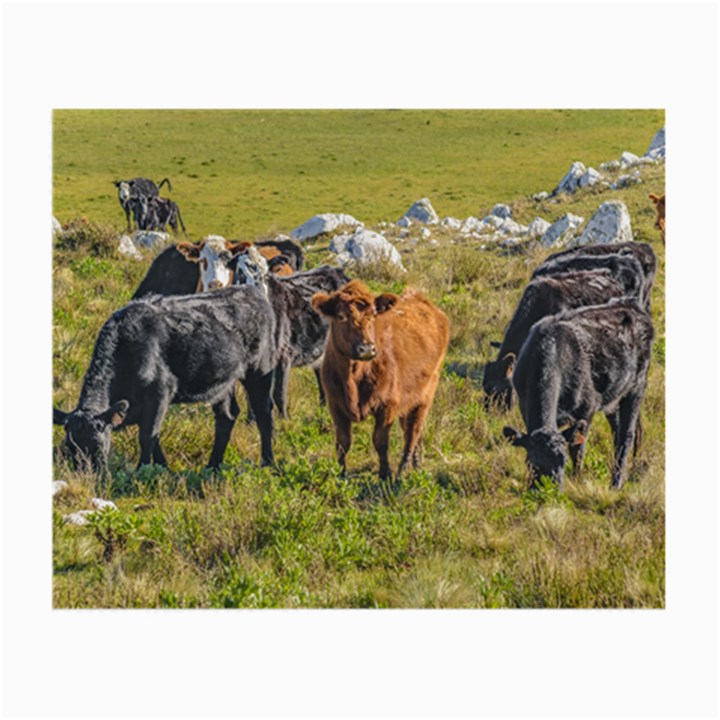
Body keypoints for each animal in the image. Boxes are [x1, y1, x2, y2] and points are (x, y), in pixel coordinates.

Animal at [52, 284, 278, 476]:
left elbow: (147, 436)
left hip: (260, 369)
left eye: (99, 446)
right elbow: (155, 437)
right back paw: (212, 466)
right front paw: (163, 467)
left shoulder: (160, 392)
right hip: (222, 383)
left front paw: (142, 471)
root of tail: (251, 290)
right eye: (69, 447)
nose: (86, 475)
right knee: (227, 416)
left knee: (263, 413)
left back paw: (268, 463)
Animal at [310, 278, 448, 480]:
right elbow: (343, 442)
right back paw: (416, 465)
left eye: (374, 315)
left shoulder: (388, 405)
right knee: (411, 429)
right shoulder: (335, 405)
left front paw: (385, 474)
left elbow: (380, 441)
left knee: (412, 432)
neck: (353, 376)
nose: (367, 349)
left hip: (426, 394)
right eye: (341, 316)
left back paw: (403, 470)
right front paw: (341, 473)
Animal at [504, 298, 656, 490]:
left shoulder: (587, 409)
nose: (550, 491)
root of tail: (630, 304)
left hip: (637, 386)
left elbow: (578, 450)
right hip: (614, 398)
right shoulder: (525, 407)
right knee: (617, 432)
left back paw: (616, 484)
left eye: (563, 462)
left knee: (626, 436)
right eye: (532, 462)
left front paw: (577, 480)